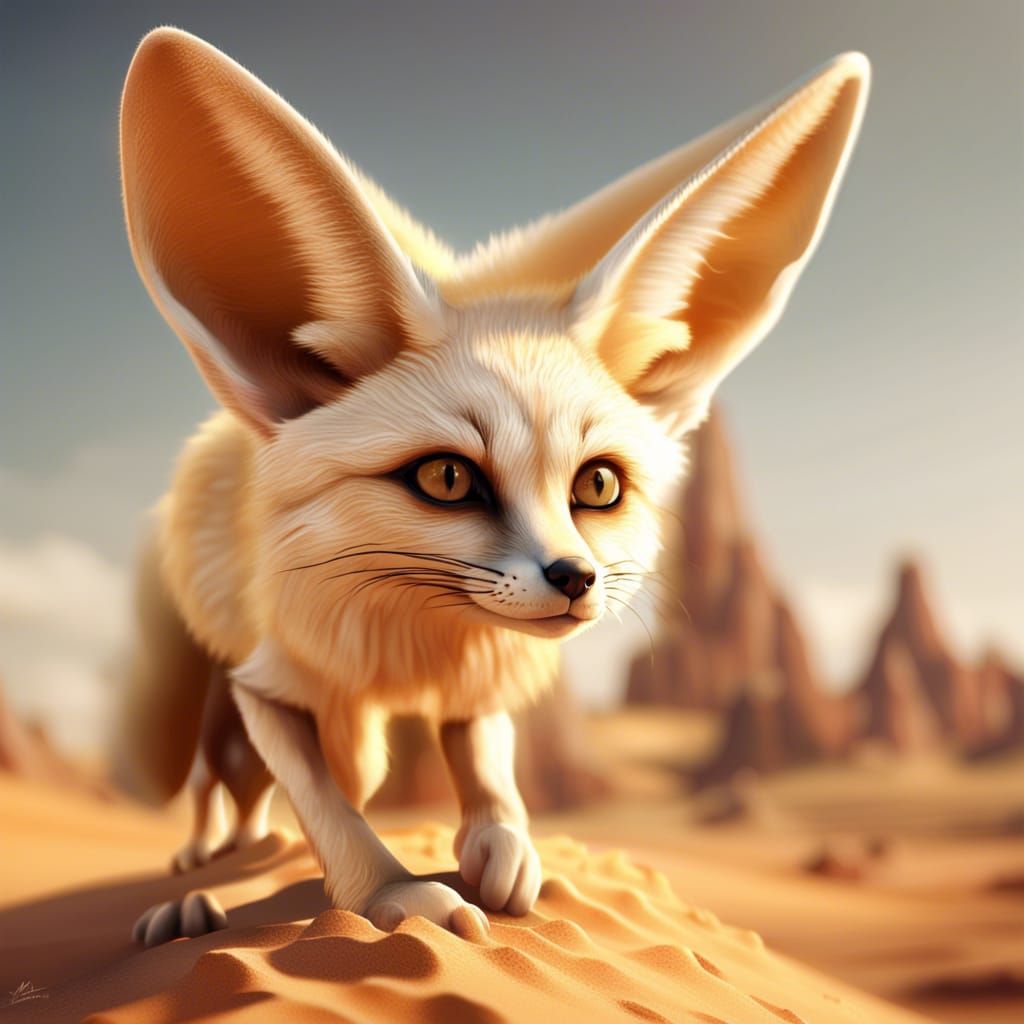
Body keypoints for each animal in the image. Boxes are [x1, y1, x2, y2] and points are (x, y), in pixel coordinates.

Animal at [117, 27, 869, 944]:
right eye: (447, 478)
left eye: (599, 485)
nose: (576, 579)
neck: (420, 633)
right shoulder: (271, 683)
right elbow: (327, 805)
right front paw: (394, 894)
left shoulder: (479, 679)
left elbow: (487, 765)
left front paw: (504, 852)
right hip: (207, 676)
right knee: (211, 775)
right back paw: (202, 868)